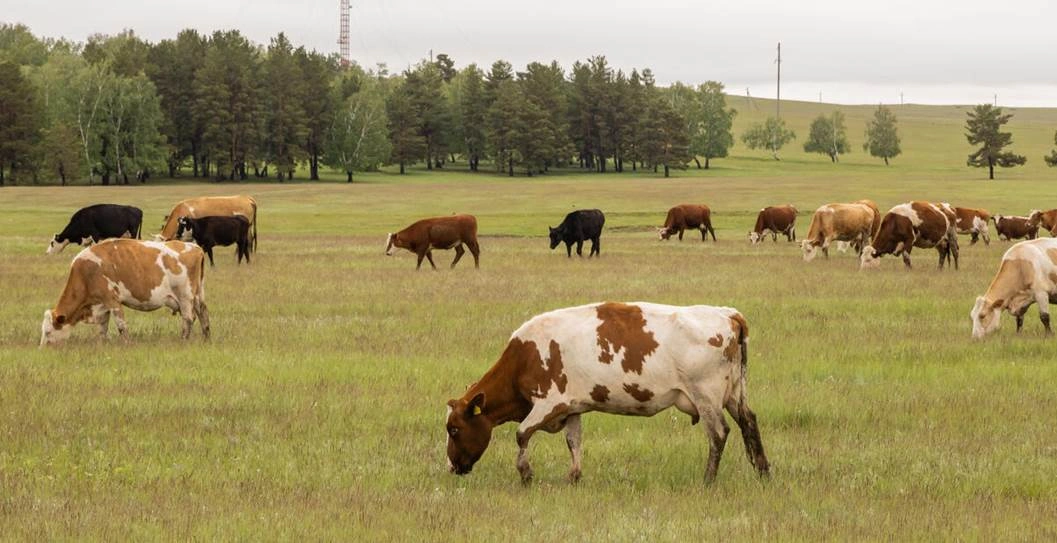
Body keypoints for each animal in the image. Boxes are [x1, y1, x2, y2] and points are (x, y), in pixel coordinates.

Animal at [39, 237, 208, 346]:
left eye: (48, 332)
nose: (42, 348)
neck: (85, 273)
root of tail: (195, 247)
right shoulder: (102, 305)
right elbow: (103, 327)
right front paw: (102, 343)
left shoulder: (112, 300)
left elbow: (121, 325)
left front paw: (127, 344)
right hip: (197, 296)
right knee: (203, 314)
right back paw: (207, 338)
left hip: (185, 297)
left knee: (188, 318)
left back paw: (183, 341)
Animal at [441, 300, 773, 481]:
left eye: (454, 429)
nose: (452, 466)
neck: (525, 356)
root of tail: (728, 314)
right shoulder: (572, 406)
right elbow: (574, 442)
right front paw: (574, 477)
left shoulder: (549, 403)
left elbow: (521, 434)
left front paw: (526, 474)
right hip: (735, 394)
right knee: (749, 423)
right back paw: (763, 473)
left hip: (706, 396)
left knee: (718, 434)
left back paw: (708, 480)